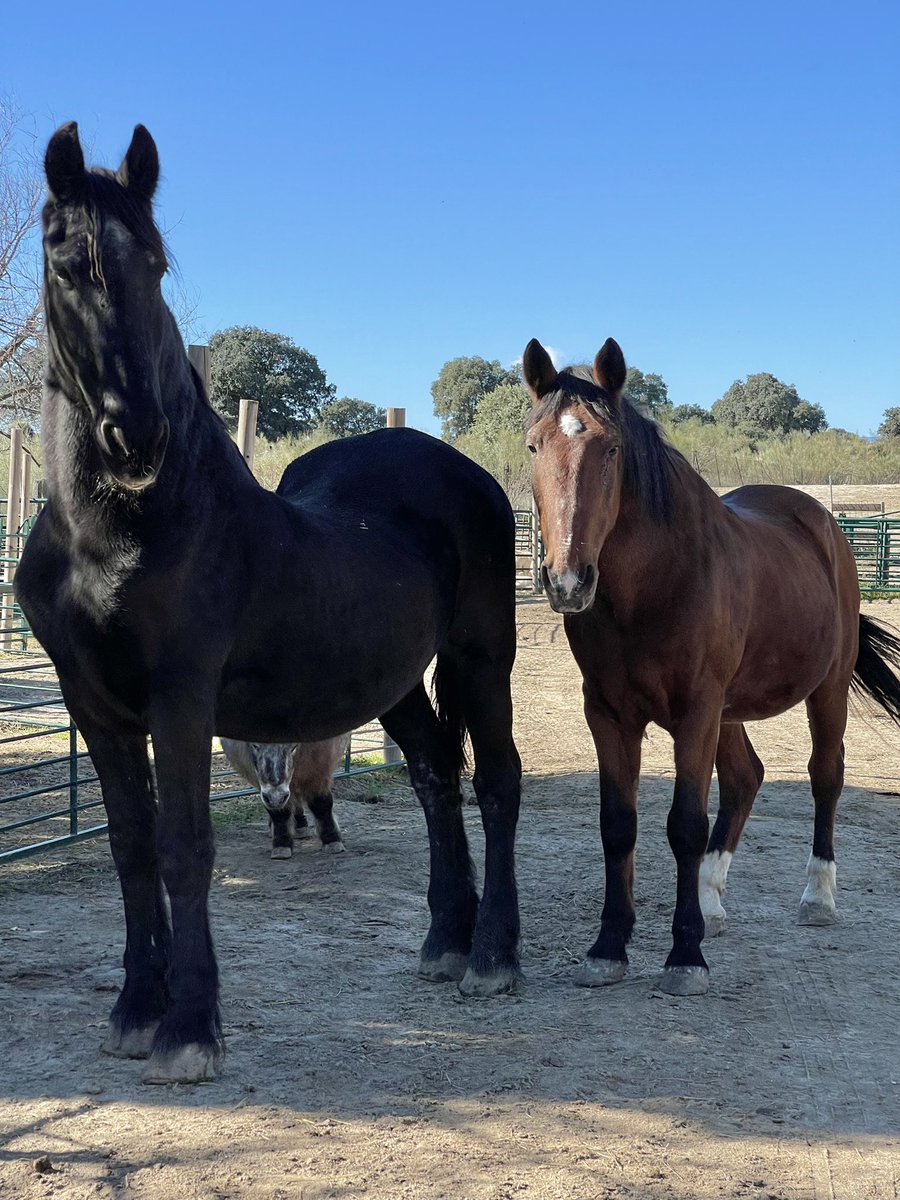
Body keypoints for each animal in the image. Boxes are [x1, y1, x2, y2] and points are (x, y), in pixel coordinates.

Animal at [14, 122, 522, 1084]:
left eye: (157, 264)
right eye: (64, 262)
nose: (137, 437)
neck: (127, 528)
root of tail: (463, 470)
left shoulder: (179, 700)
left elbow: (184, 848)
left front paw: (189, 1030)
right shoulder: (92, 705)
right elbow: (131, 847)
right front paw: (136, 1012)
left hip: (481, 659)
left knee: (497, 781)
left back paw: (494, 957)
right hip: (394, 683)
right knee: (436, 776)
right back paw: (445, 940)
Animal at [522, 335, 900, 996]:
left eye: (611, 447)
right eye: (534, 444)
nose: (568, 580)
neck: (653, 585)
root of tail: (824, 523)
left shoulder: (696, 710)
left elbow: (684, 825)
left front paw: (685, 956)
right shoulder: (609, 714)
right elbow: (618, 824)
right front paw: (608, 947)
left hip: (824, 689)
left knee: (825, 775)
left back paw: (818, 898)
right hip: (729, 710)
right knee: (747, 778)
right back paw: (711, 902)